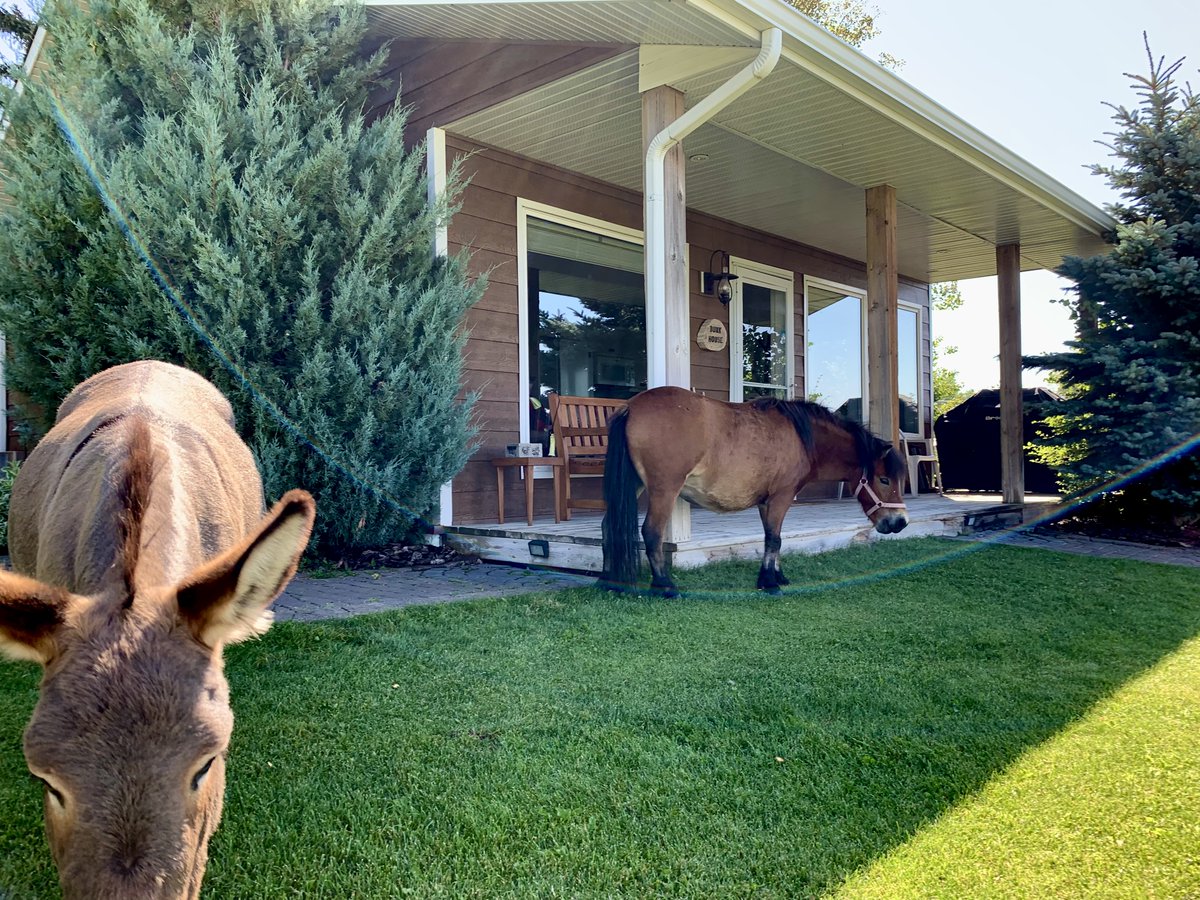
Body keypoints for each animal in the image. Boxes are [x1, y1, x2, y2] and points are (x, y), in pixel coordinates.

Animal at [601, 386, 908, 597]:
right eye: (884, 480)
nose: (900, 522)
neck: (802, 437)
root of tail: (631, 407)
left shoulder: (767, 501)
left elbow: (773, 537)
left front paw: (777, 576)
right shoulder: (781, 496)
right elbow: (775, 539)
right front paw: (769, 583)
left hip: (635, 485)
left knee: (608, 527)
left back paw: (608, 580)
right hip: (664, 489)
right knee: (651, 532)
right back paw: (665, 586)